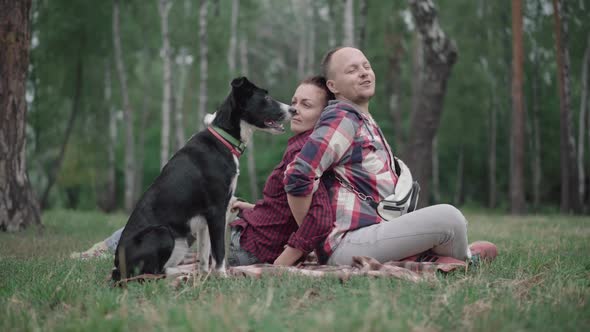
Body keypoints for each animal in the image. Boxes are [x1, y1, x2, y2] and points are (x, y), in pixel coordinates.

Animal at [111, 77, 294, 280]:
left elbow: (205, 253)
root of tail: (117, 266)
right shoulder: (217, 209)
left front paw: (205, 275)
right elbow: (218, 251)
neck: (224, 140)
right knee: (153, 272)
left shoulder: (206, 218)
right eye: (266, 98)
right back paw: (180, 272)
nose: (293, 110)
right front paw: (222, 276)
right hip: (162, 233)